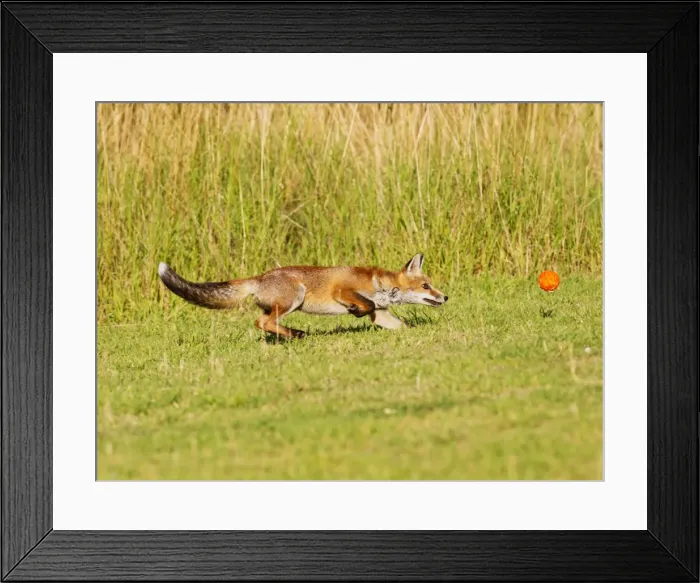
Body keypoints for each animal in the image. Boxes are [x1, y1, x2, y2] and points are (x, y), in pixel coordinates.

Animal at [158, 253, 448, 339]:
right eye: (426, 286)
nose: (445, 298)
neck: (379, 284)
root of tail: (260, 277)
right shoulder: (343, 290)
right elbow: (363, 304)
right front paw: (355, 311)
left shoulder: (382, 315)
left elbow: (402, 326)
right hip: (294, 298)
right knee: (262, 322)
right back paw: (296, 334)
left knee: (264, 322)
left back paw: (291, 334)